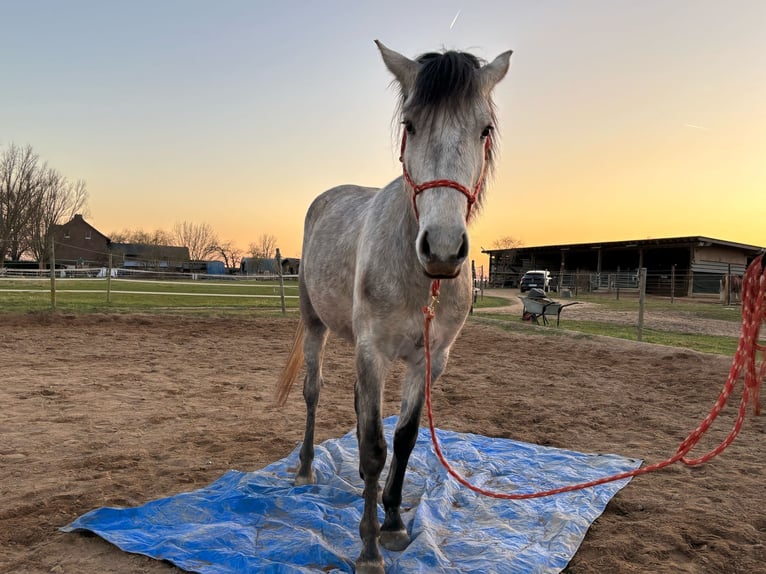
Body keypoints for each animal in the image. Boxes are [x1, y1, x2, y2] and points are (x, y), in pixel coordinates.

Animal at [280, 41, 512, 574]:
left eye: (484, 129)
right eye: (410, 124)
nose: (443, 249)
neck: (417, 276)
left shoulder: (428, 360)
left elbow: (403, 440)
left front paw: (392, 521)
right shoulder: (374, 352)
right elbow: (372, 449)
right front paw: (367, 549)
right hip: (315, 325)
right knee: (313, 393)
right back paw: (305, 469)